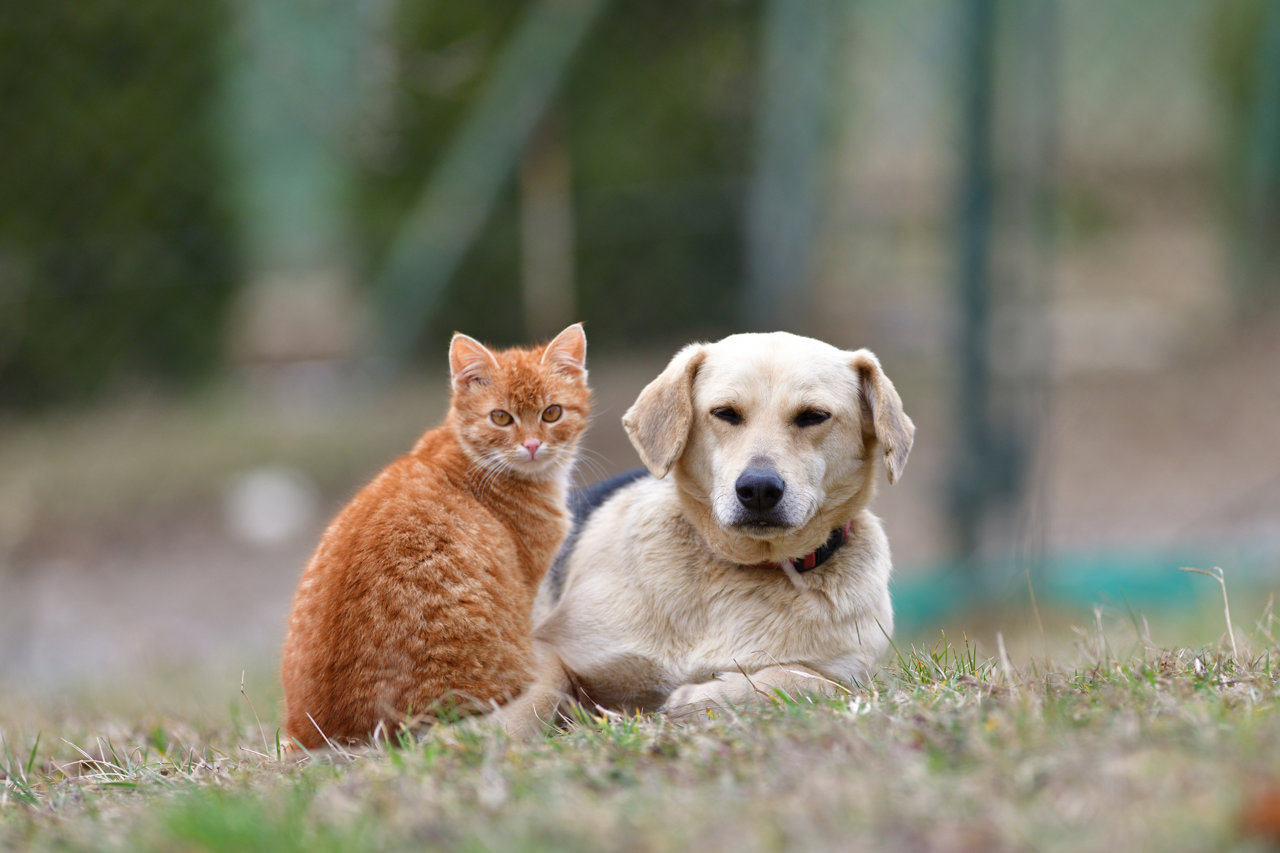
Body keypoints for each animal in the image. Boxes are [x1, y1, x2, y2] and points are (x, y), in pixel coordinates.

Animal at [494, 330, 916, 732]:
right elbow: (538, 694)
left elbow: (805, 680)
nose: (758, 490)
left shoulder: (851, 676)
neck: (740, 568)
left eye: (813, 416)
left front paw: (700, 699)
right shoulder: (549, 648)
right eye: (725, 413)